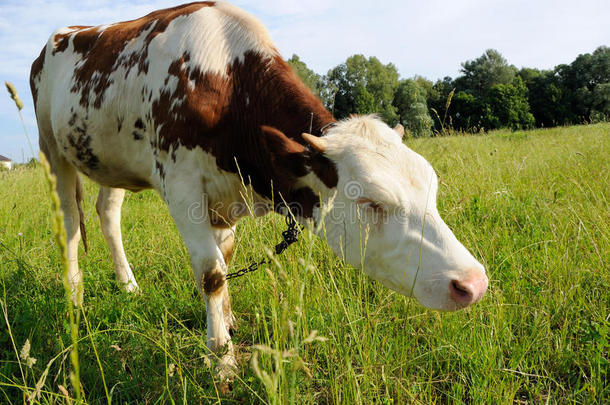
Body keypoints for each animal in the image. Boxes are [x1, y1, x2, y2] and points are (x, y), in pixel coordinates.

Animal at [30, 0, 486, 382]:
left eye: (432, 189)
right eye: (370, 201)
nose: (473, 283)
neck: (225, 84)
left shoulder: (225, 193)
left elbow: (226, 256)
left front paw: (227, 323)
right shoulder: (181, 186)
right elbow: (212, 272)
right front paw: (221, 359)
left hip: (112, 160)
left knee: (108, 211)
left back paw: (128, 285)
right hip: (51, 149)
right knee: (68, 222)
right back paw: (74, 297)